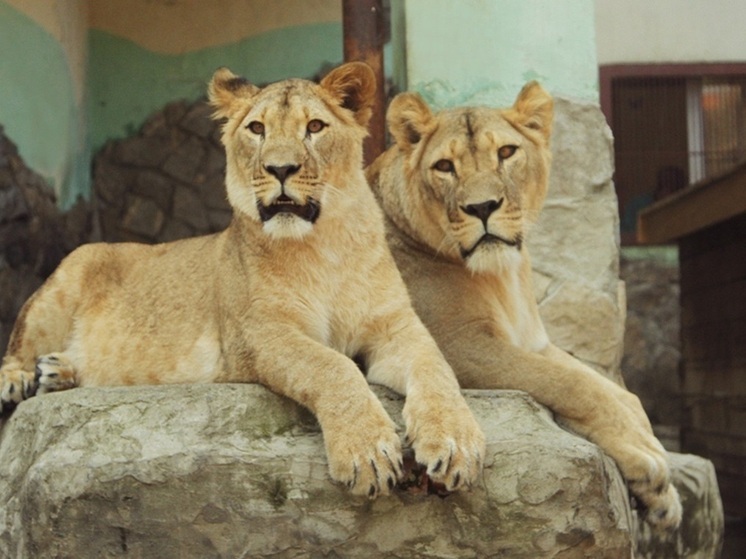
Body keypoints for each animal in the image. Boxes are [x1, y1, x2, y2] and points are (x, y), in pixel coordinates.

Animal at [0, 63, 482, 500]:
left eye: (314, 126)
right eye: (257, 128)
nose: (280, 168)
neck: (323, 246)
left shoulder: (396, 326)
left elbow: (437, 367)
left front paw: (456, 443)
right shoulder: (259, 334)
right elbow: (333, 366)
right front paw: (367, 452)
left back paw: (56, 371)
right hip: (67, 276)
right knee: (18, 343)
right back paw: (21, 380)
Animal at [364, 82, 684, 528]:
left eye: (506, 152)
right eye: (444, 166)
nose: (482, 207)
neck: (503, 275)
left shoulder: (534, 341)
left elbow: (616, 391)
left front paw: (661, 489)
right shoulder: (457, 345)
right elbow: (573, 385)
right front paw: (644, 457)